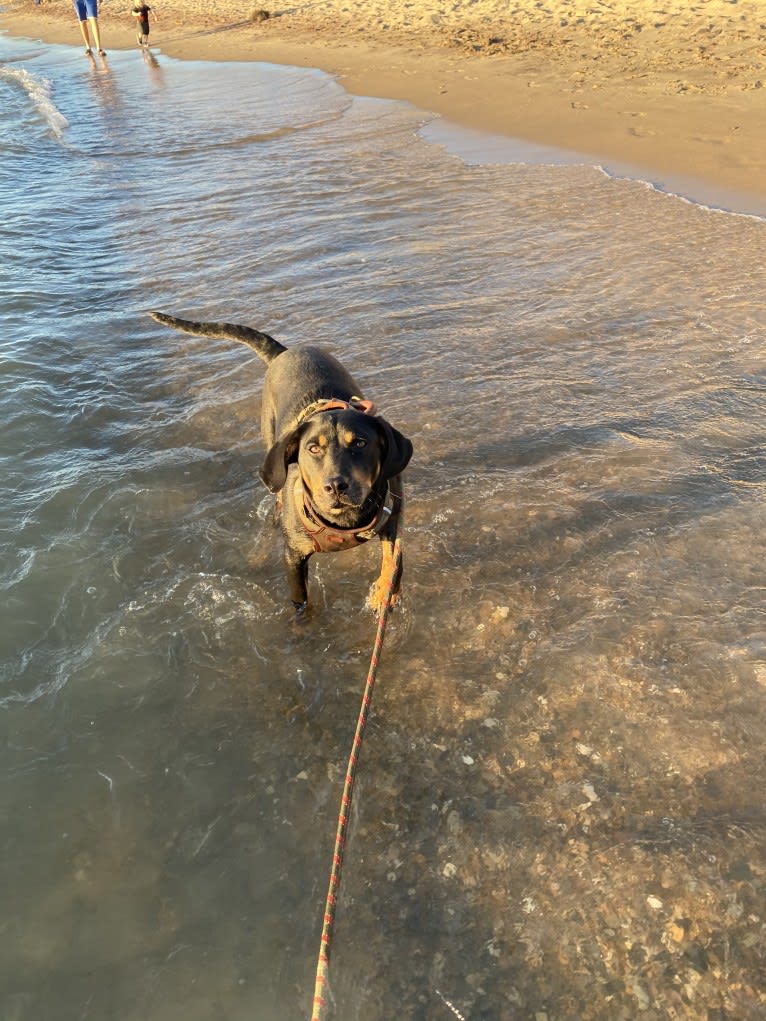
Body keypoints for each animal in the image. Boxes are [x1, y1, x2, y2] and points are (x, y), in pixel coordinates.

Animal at [150, 310, 414, 612]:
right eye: (313, 449)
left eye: (360, 443)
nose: (336, 486)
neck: (343, 522)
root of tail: (286, 352)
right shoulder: (293, 556)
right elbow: (300, 601)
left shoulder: (393, 517)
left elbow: (394, 563)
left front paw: (384, 593)